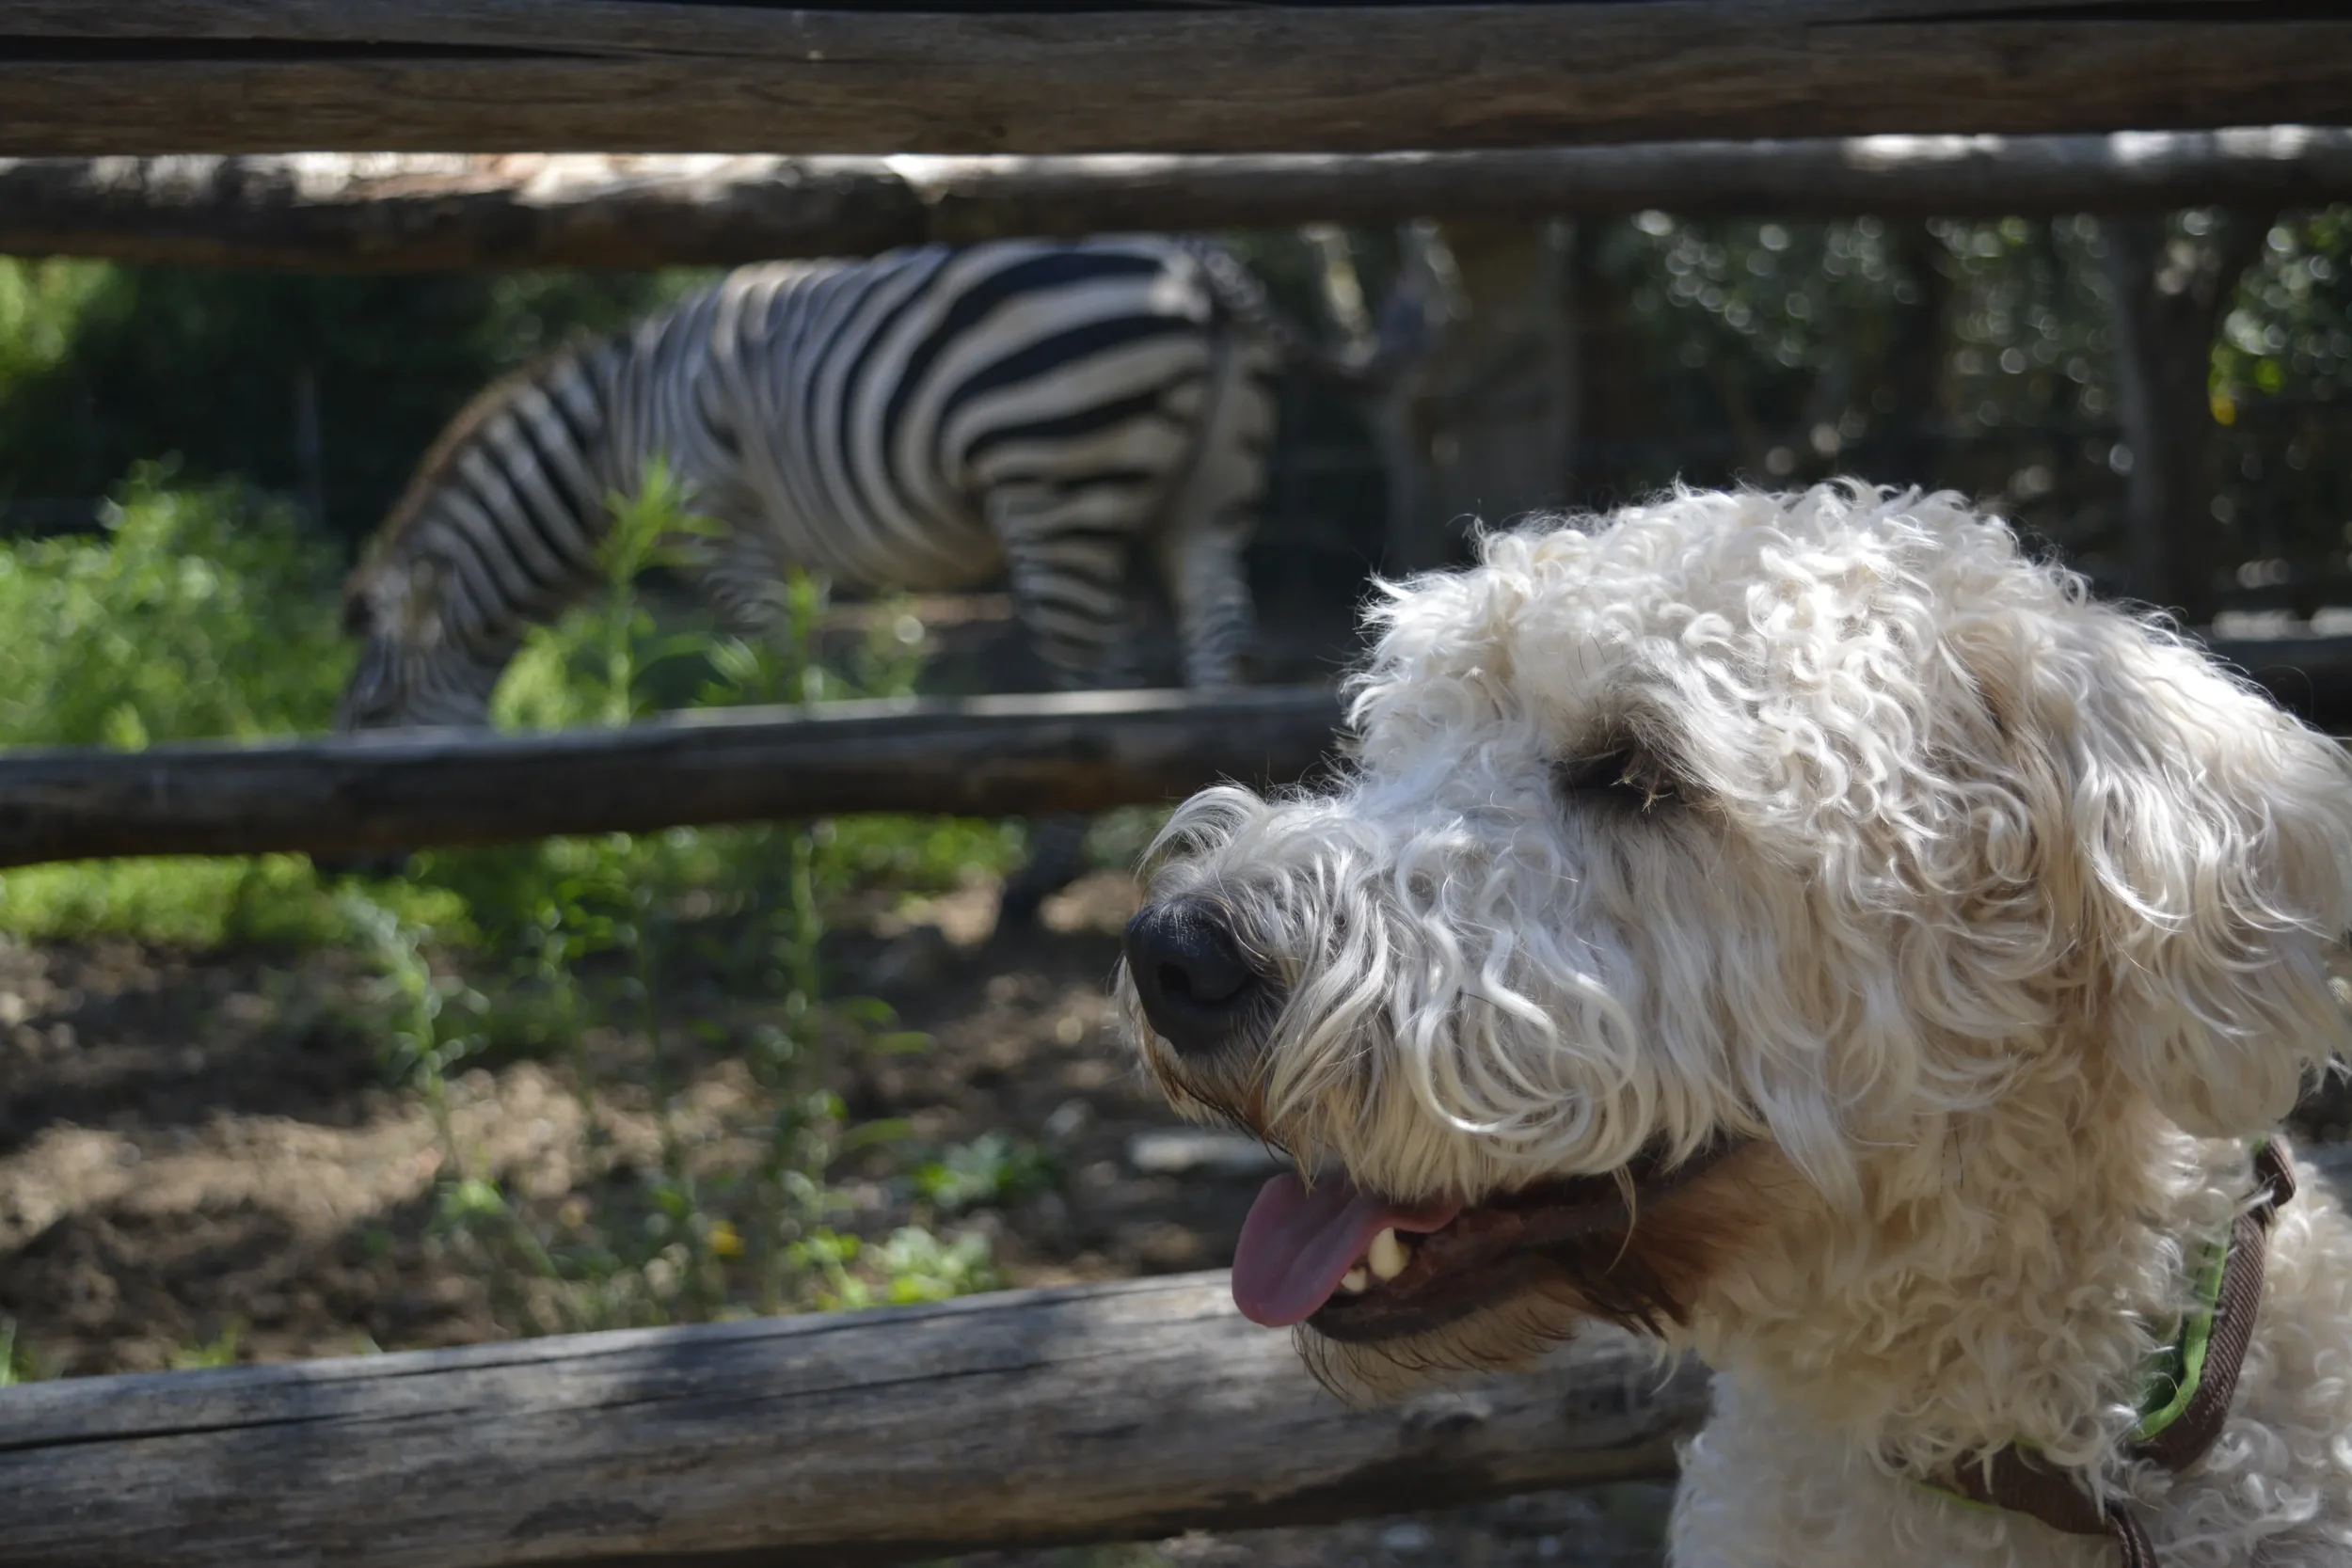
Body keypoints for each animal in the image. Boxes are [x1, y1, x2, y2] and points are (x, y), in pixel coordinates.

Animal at [336, 235, 1418, 923]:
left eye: (372, 712)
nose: (355, 866)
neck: (612, 441)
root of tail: (1197, 262)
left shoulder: (726, 529)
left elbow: (772, 673)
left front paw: (793, 833)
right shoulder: (788, 551)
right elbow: (801, 670)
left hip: (1053, 467)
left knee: (1091, 678)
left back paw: (1038, 880)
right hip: (1208, 487)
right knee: (1214, 646)